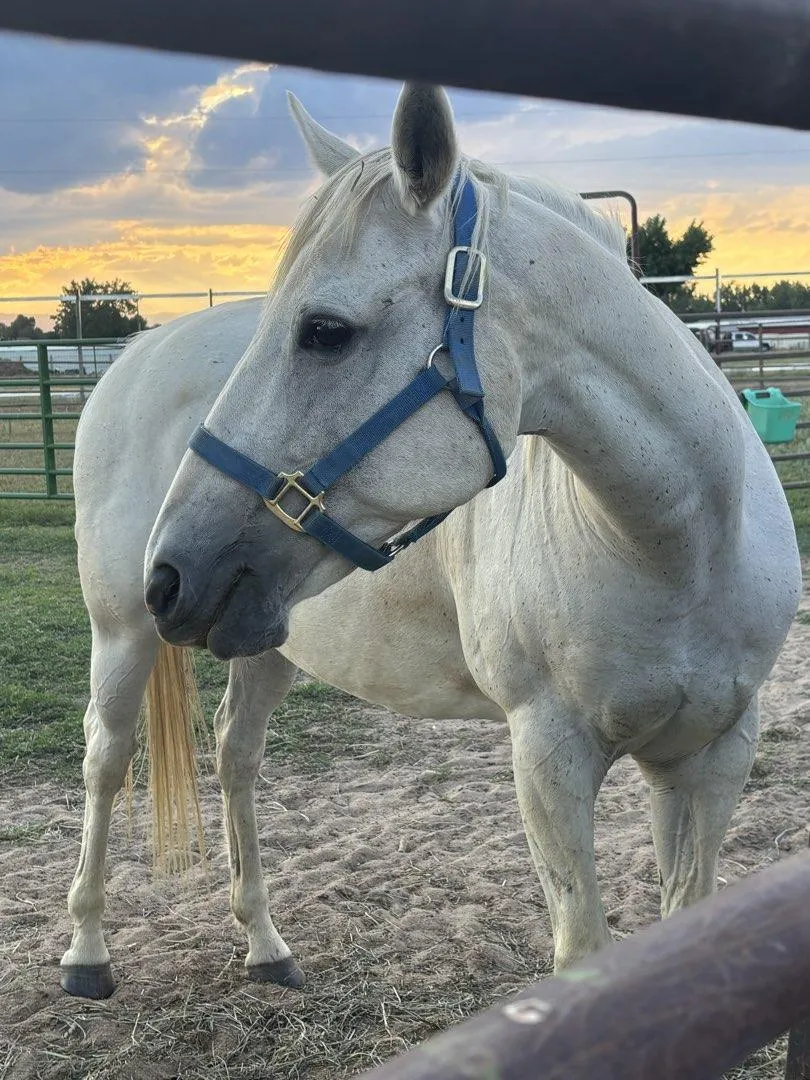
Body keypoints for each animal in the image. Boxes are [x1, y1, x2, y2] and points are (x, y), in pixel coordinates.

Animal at [61, 83, 801, 1000]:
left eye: (325, 331)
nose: (170, 573)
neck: (680, 550)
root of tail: (134, 353)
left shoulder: (710, 756)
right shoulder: (549, 756)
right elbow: (582, 948)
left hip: (264, 636)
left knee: (236, 756)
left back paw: (265, 943)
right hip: (122, 632)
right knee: (105, 758)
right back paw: (86, 952)